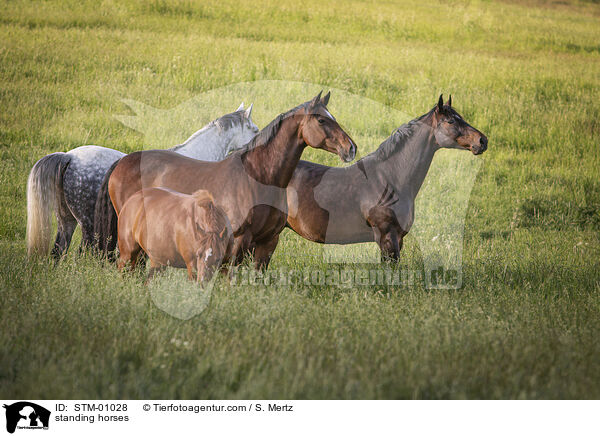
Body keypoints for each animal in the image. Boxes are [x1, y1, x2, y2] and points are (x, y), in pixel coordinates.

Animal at [95, 92, 356, 268]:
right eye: (321, 120)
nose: (351, 148)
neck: (258, 177)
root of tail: (122, 162)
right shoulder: (239, 241)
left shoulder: (268, 242)